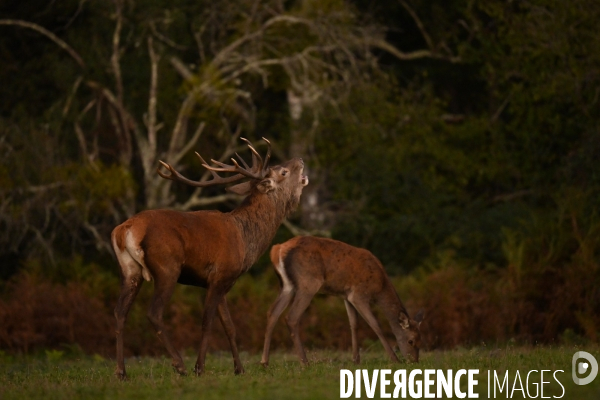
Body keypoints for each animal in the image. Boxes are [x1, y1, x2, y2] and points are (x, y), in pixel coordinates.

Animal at [110, 138, 310, 378]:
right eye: (283, 171)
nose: (300, 158)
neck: (246, 241)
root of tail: (125, 230)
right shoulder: (220, 274)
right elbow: (207, 322)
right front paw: (200, 367)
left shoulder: (223, 281)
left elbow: (229, 326)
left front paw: (239, 369)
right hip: (167, 267)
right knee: (154, 313)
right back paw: (180, 365)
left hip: (129, 270)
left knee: (120, 312)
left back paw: (121, 371)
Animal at [262, 236, 422, 368]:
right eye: (411, 341)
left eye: (421, 340)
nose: (414, 361)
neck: (380, 287)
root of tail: (277, 250)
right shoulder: (359, 295)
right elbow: (375, 324)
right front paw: (395, 359)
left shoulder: (346, 296)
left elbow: (354, 324)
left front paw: (356, 360)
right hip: (308, 282)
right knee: (291, 317)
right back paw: (305, 362)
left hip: (287, 286)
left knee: (272, 312)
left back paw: (265, 361)